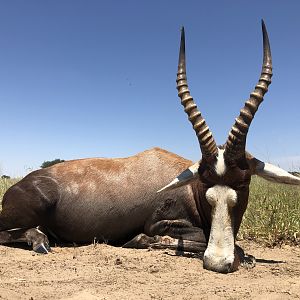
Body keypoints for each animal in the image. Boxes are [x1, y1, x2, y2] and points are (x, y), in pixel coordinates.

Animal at [0, 20, 298, 274]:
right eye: (205, 184)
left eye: (244, 184)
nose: (217, 262)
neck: (188, 189)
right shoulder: (159, 223)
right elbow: (217, 243)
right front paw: (141, 240)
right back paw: (39, 241)